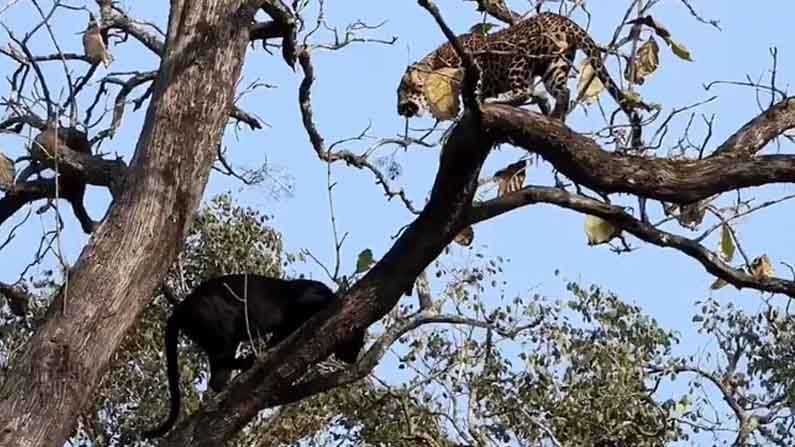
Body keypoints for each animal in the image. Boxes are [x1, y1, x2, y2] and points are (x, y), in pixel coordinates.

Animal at [398, 11, 652, 148]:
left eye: (403, 89)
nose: (399, 110)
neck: (435, 62)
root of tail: (564, 20)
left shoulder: (474, 65)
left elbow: (475, 91)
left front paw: (475, 107)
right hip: (554, 65)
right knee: (562, 92)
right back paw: (554, 116)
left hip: (519, 59)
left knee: (525, 91)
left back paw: (510, 103)